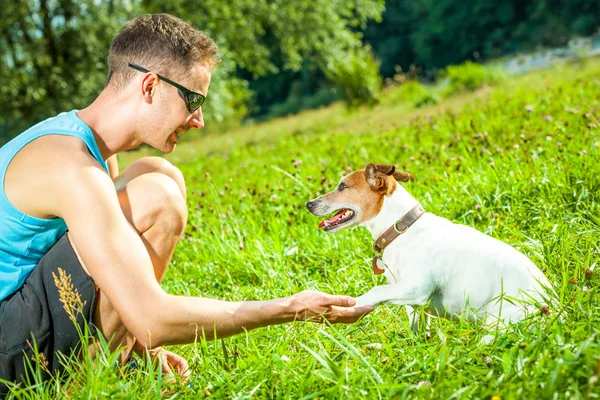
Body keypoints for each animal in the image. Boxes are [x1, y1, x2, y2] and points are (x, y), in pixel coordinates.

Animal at [308, 162, 556, 332]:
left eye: (342, 186)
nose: (308, 204)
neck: (402, 229)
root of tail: (556, 308)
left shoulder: (416, 287)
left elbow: (376, 291)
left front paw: (349, 306)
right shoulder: (412, 300)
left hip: (499, 324)